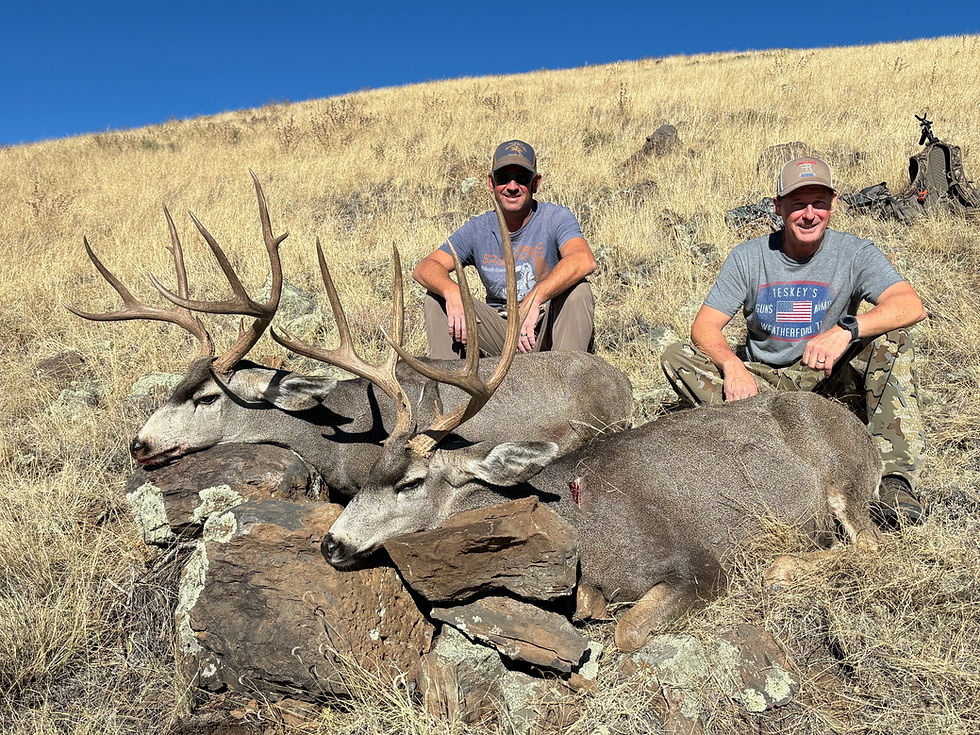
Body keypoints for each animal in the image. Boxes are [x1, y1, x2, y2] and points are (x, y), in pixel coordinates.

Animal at [312, 221, 884, 652]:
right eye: (368, 472)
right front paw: (593, 603)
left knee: (872, 545)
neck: (582, 525)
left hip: (848, 485)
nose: (330, 543)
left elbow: (629, 631)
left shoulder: (699, 564)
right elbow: (591, 607)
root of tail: (860, 432)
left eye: (409, 482)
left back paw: (783, 564)